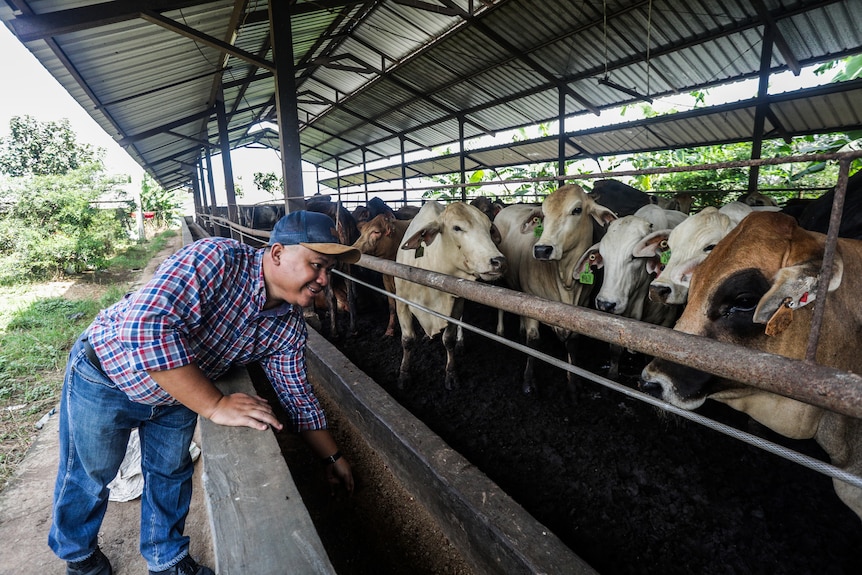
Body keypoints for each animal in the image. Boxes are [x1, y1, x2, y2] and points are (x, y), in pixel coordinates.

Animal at [396, 201, 510, 392]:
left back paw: (460, 342)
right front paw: (404, 375)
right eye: (456, 227)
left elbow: (448, 340)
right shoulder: (401, 302)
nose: (499, 262)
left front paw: (451, 374)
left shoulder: (455, 303)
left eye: (489, 228)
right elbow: (407, 340)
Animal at [492, 184, 620, 396]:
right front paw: (528, 382)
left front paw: (573, 383)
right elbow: (533, 341)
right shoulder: (532, 303)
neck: (565, 280)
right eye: (543, 214)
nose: (542, 250)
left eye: (577, 210)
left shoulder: (581, 309)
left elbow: (572, 345)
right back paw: (500, 331)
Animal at [576, 205, 692, 380]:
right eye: (602, 255)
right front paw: (612, 374)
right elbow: (615, 350)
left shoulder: (667, 321)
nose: (605, 304)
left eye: (634, 256)